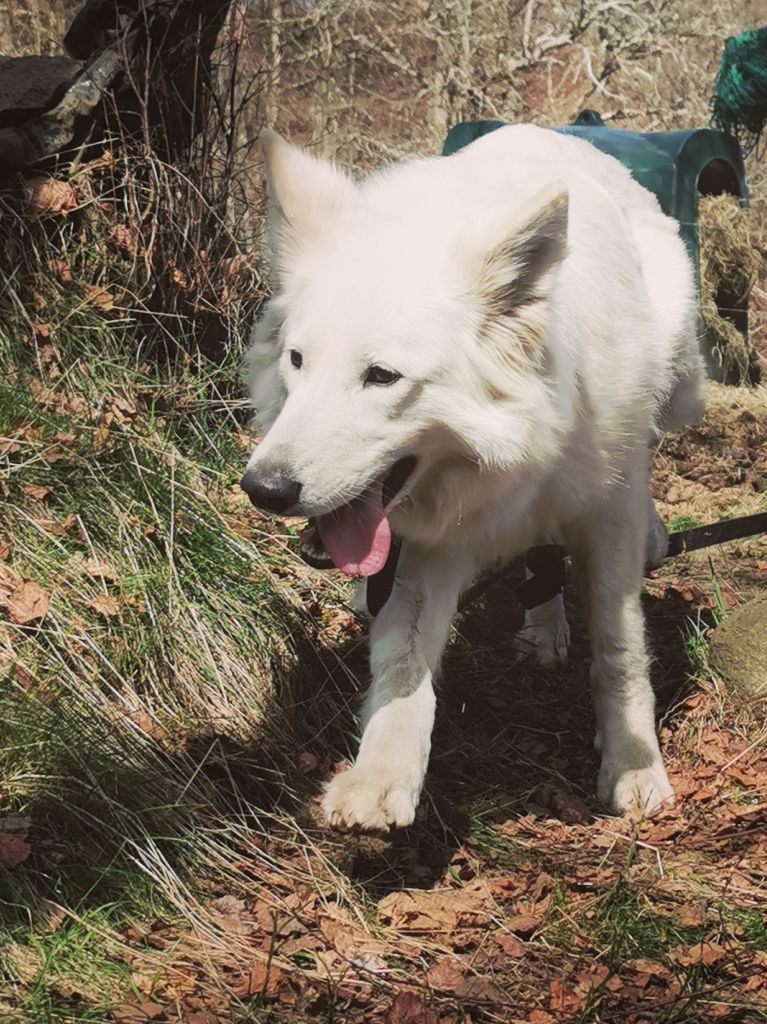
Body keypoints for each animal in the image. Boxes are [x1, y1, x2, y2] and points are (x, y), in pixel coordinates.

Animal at [242, 128, 704, 831]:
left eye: (381, 376)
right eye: (298, 360)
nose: (263, 490)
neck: (519, 449)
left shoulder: (608, 515)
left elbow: (620, 646)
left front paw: (633, 764)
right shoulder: (433, 546)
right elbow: (404, 662)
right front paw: (381, 778)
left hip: (674, 388)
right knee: (540, 561)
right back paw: (542, 624)